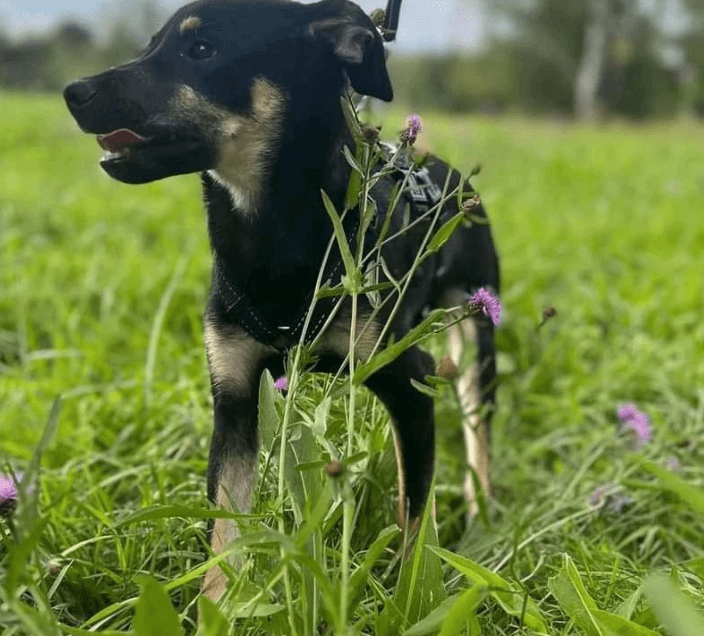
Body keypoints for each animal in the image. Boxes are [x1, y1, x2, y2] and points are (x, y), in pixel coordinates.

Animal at [62, 0, 500, 600]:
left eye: (202, 50)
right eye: (150, 45)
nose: (73, 91)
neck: (272, 234)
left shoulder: (409, 379)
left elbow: (415, 520)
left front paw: (416, 598)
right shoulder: (235, 398)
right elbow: (225, 533)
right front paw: (217, 610)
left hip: (477, 337)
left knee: (478, 436)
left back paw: (481, 519)